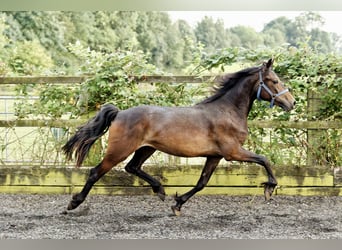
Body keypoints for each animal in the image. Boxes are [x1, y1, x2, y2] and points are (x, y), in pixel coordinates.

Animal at [62, 59, 296, 216]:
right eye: (274, 81)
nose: (291, 103)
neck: (227, 111)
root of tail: (119, 113)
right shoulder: (232, 152)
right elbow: (264, 159)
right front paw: (269, 189)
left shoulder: (215, 156)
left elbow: (202, 183)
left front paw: (177, 204)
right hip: (120, 150)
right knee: (96, 172)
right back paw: (74, 203)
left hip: (147, 148)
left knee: (132, 167)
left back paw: (160, 190)